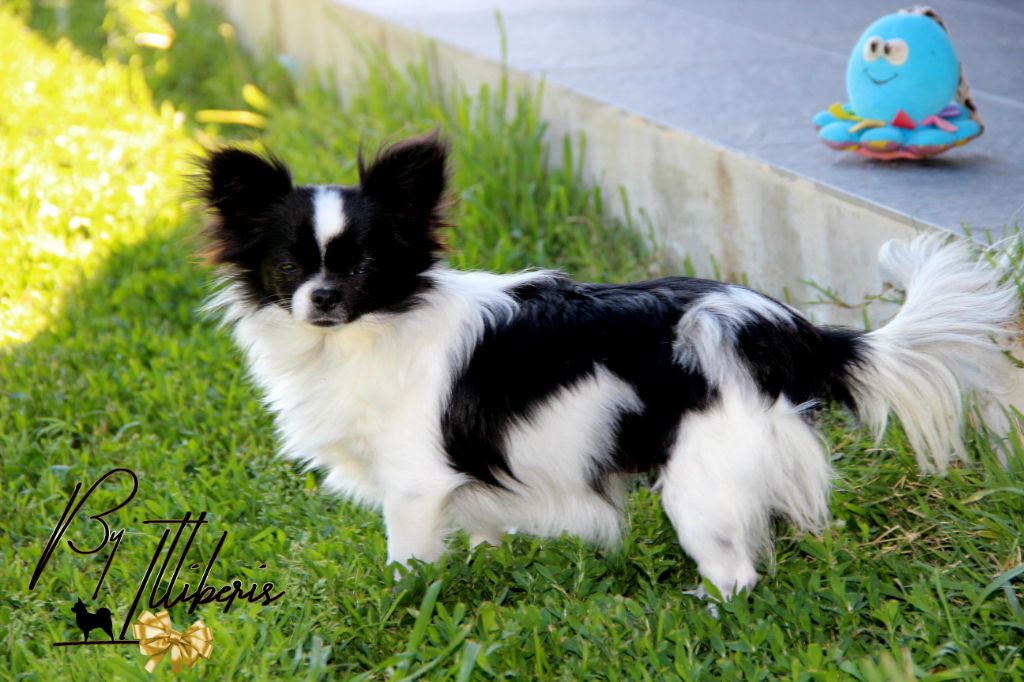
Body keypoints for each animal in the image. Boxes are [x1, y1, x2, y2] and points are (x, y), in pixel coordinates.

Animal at [198, 133, 1018, 598]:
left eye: (365, 268)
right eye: (288, 267)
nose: (323, 298)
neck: (356, 337)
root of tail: (787, 330)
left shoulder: (414, 486)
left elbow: (408, 565)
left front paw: (405, 605)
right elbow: (484, 535)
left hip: (701, 481)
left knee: (736, 575)